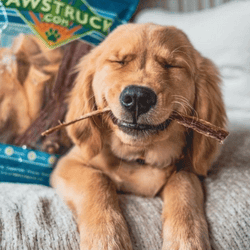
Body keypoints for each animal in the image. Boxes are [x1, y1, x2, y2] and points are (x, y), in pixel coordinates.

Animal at [50, 23, 227, 250]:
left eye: (171, 65)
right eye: (119, 61)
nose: (137, 97)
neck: (139, 157)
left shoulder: (188, 167)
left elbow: (183, 183)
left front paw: (187, 239)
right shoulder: (68, 163)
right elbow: (96, 179)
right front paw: (107, 237)